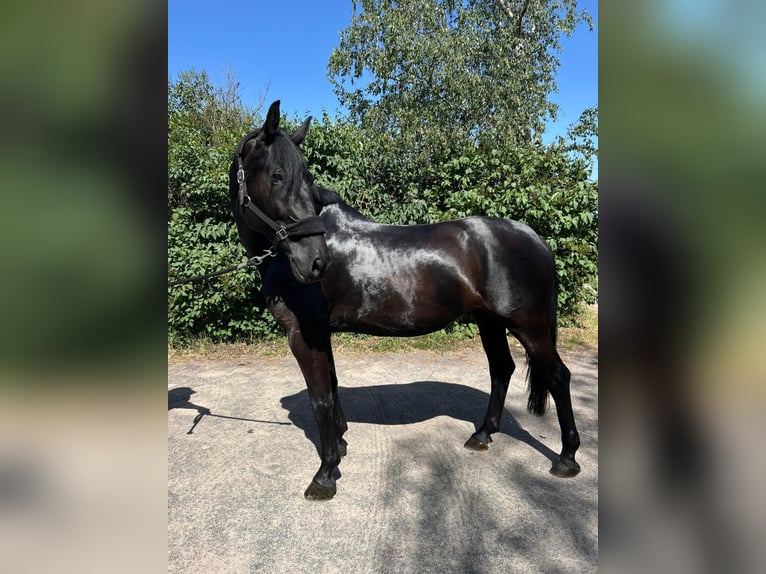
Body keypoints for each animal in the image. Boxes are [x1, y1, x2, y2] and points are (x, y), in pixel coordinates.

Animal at [230, 100, 581, 500]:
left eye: (302, 176)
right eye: (276, 176)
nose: (316, 261)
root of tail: (536, 239)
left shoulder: (304, 334)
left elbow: (320, 398)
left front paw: (325, 474)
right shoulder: (322, 333)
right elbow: (332, 387)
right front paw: (342, 446)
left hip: (528, 326)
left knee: (558, 376)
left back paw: (566, 458)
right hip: (489, 321)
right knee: (501, 369)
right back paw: (482, 434)